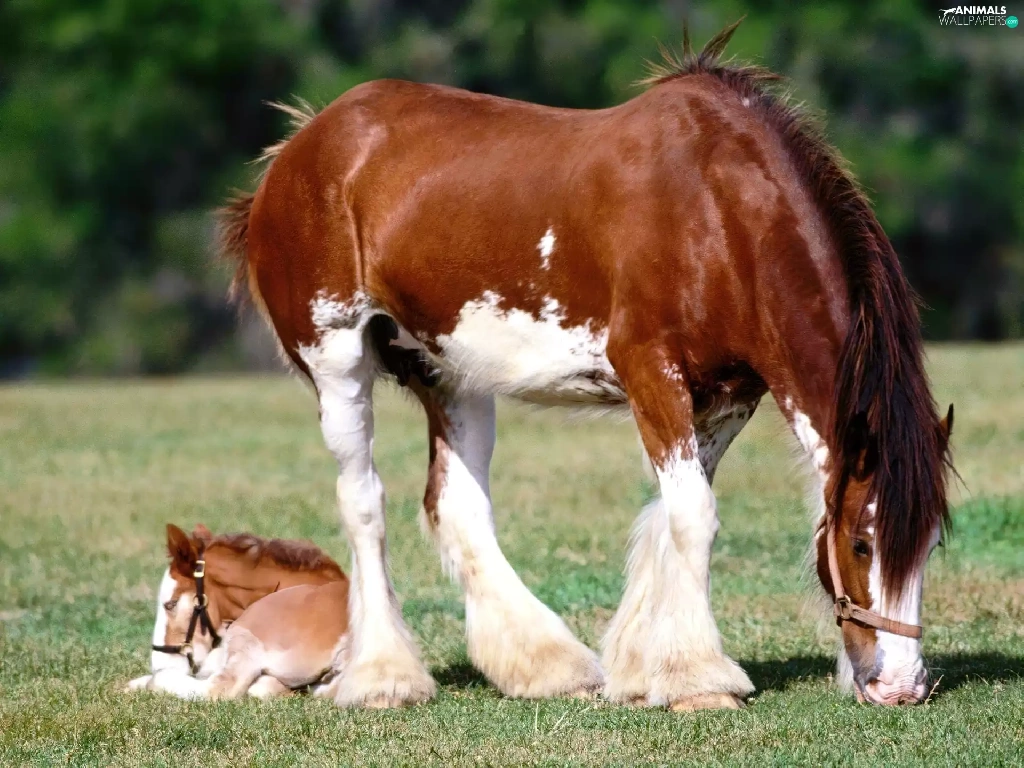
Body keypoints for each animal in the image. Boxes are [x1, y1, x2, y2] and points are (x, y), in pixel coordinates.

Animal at [215, 20, 954, 710]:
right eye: (862, 544)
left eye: (931, 545)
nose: (902, 686)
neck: (718, 210)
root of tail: (298, 149)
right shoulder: (651, 371)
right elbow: (692, 516)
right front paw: (699, 680)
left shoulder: (728, 398)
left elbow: (669, 516)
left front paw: (642, 667)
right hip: (337, 360)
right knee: (363, 500)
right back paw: (383, 677)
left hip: (452, 375)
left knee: (456, 505)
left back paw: (547, 665)